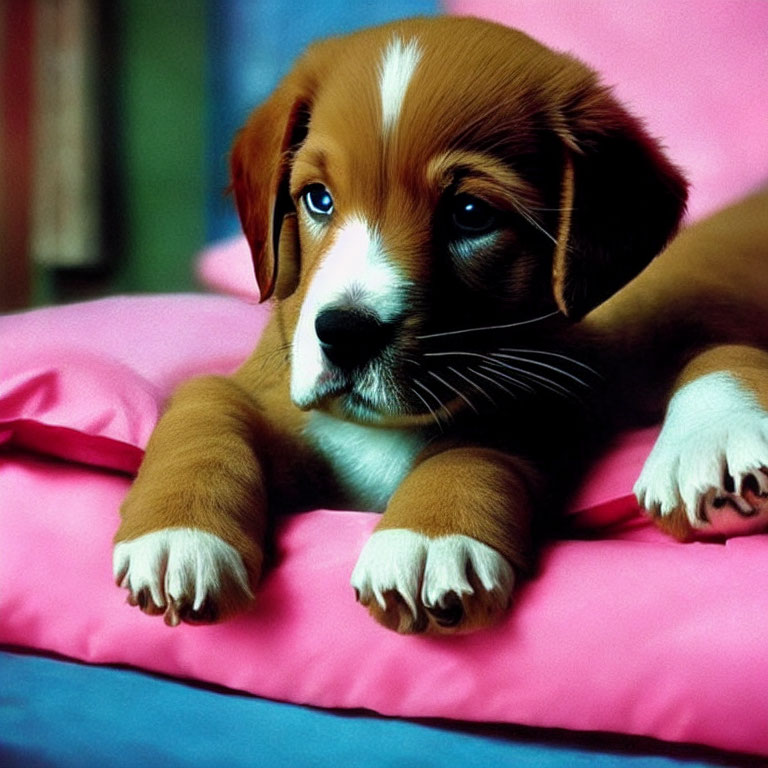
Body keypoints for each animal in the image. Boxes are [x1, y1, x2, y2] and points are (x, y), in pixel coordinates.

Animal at [112, 16, 768, 636]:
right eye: (318, 199)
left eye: (470, 213)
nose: (344, 333)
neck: (379, 431)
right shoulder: (266, 385)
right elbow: (206, 403)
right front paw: (180, 530)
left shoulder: (544, 401)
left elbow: (475, 444)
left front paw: (430, 536)